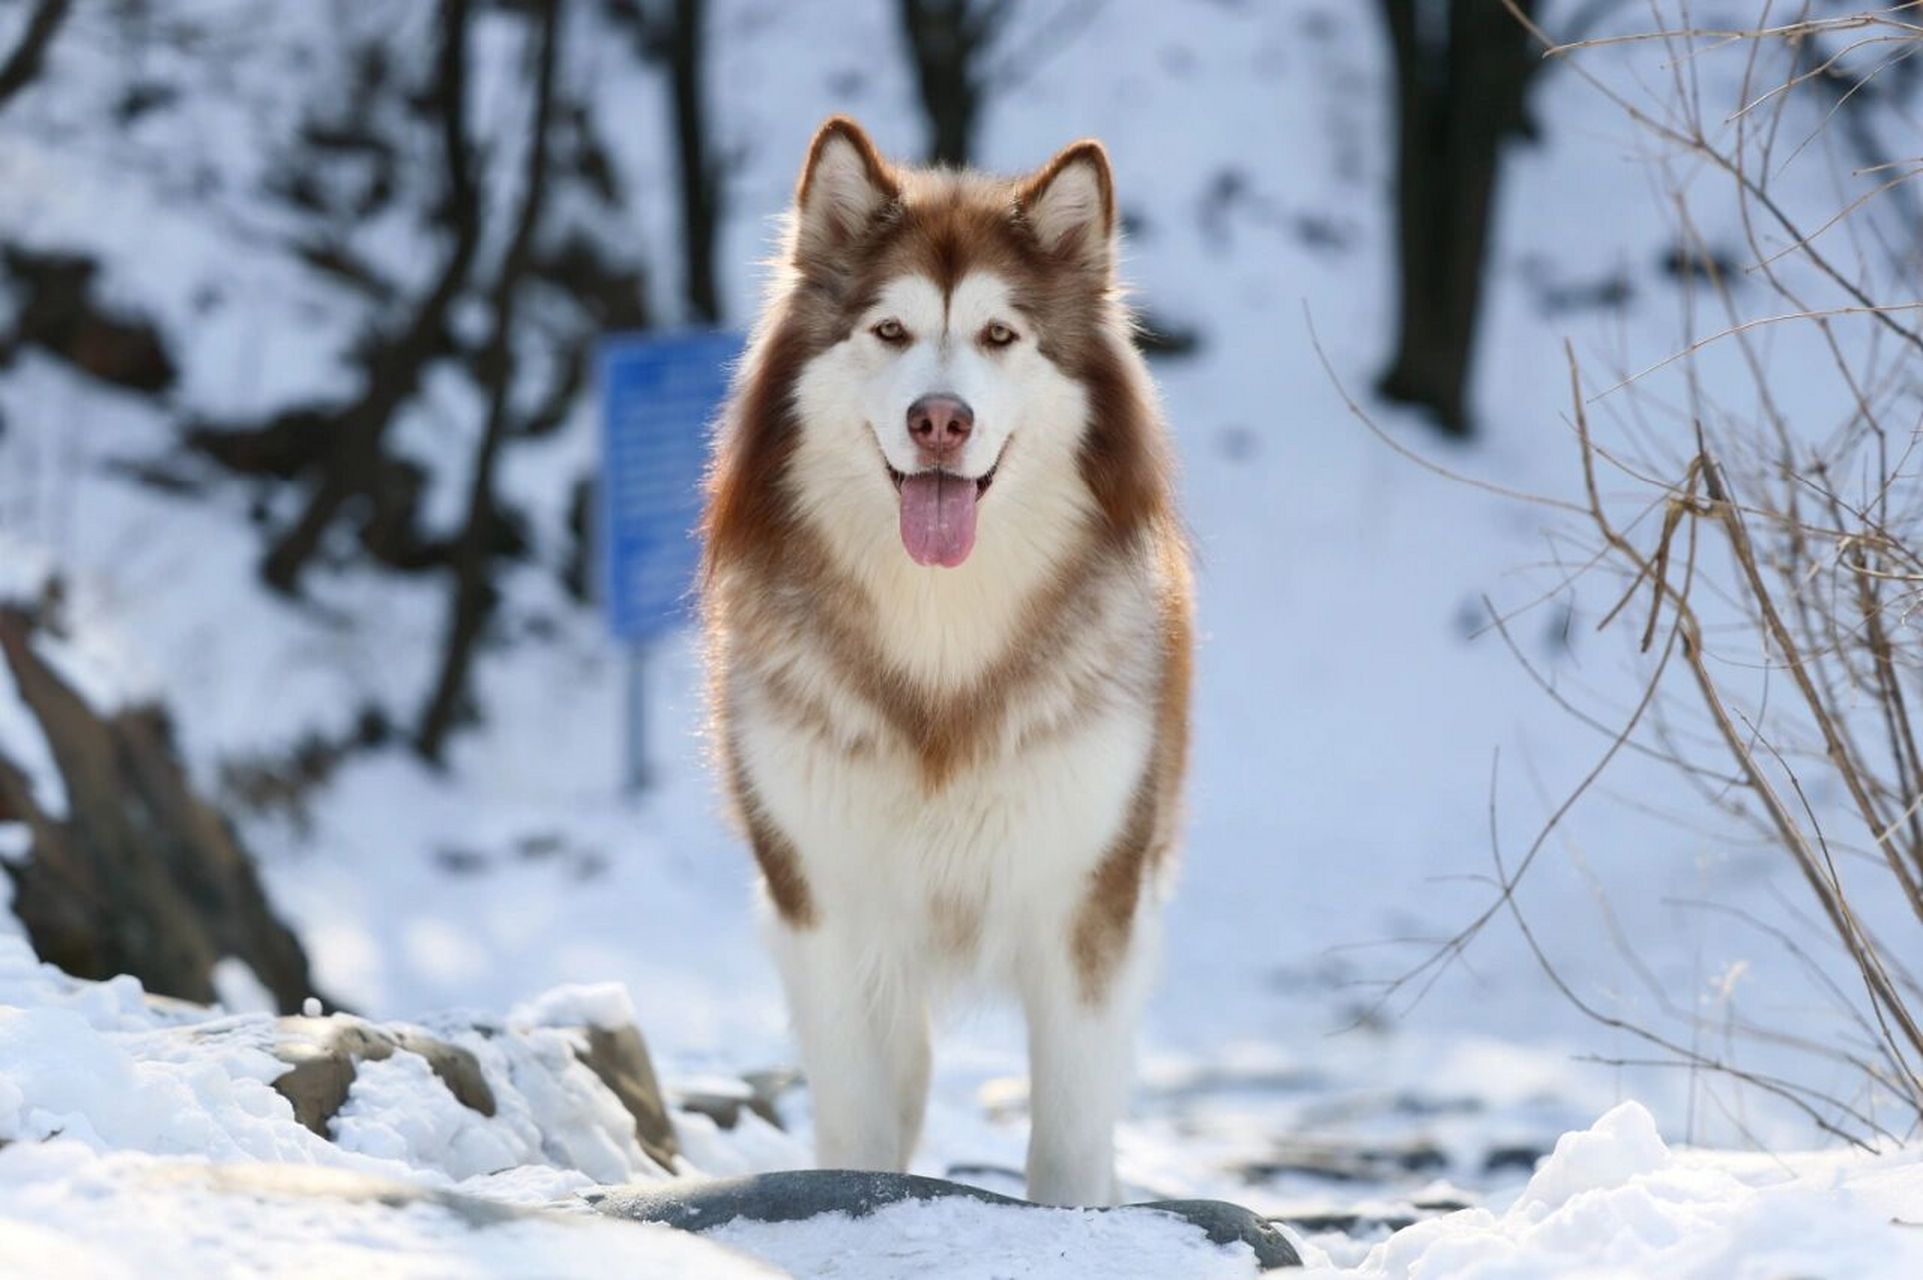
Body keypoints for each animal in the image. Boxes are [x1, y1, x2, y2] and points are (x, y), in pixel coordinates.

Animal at [699, 114, 1192, 1199]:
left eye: (1000, 336)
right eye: (889, 331)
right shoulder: (823, 897)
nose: (939, 419)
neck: (941, 643)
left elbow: (1071, 1130)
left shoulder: (1090, 897)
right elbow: (860, 1113)